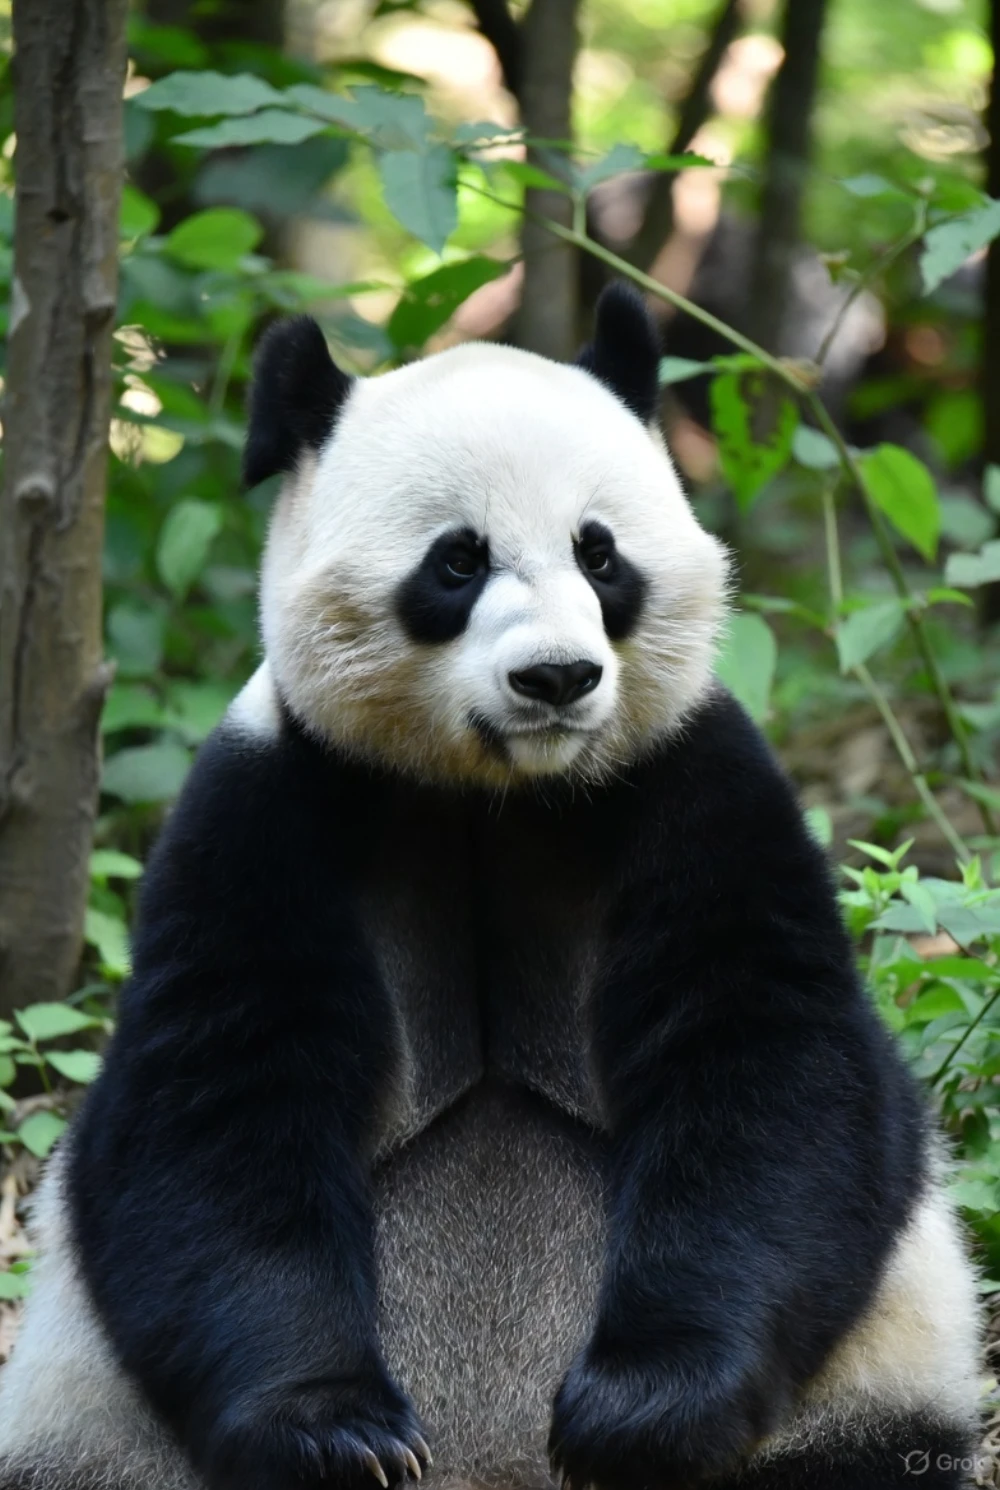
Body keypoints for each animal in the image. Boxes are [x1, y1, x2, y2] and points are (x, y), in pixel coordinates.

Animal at [0, 284, 982, 1490]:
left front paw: (642, 1408)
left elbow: (767, 1073)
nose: (556, 677)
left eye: (599, 555)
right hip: (99, 1422)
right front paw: (337, 1432)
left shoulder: (695, 781)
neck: (499, 789)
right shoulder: (269, 804)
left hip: (862, 1380)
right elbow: (221, 1106)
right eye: (456, 562)